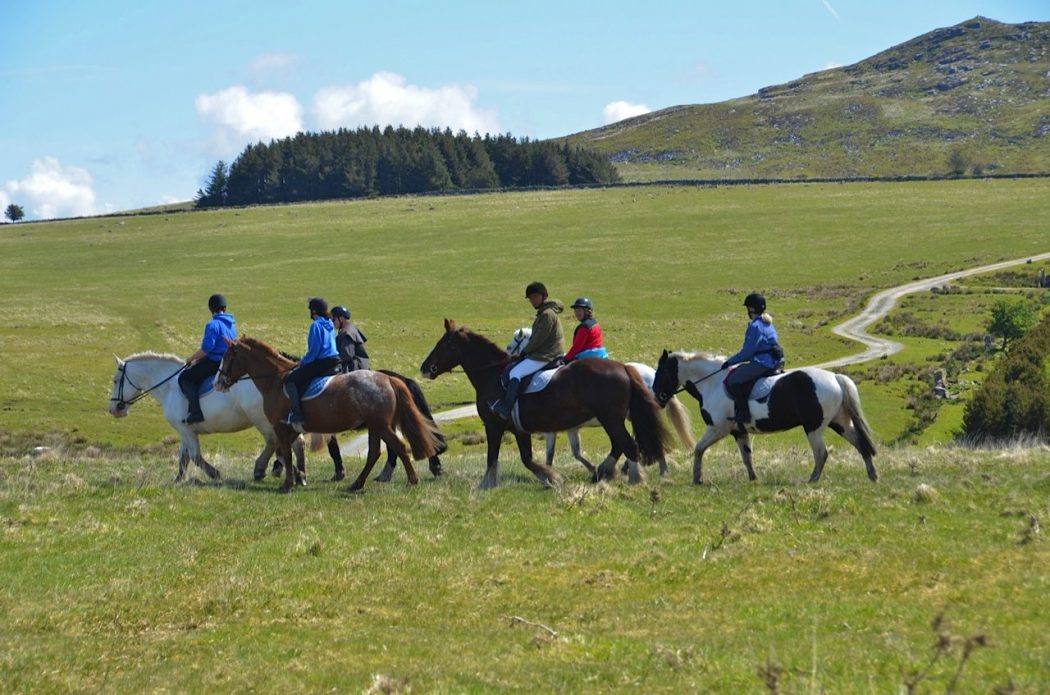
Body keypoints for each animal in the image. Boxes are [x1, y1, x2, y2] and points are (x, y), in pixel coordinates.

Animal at [108, 354, 306, 485]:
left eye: (115, 380)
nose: (113, 410)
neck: (169, 386)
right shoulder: (185, 431)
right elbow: (184, 457)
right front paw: (178, 479)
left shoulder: (186, 430)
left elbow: (195, 456)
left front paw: (214, 473)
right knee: (294, 443)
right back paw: (299, 473)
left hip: (263, 420)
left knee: (275, 442)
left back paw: (266, 469)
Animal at [213, 338, 443, 495]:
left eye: (227, 357)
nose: (218, 383)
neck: (276, 381)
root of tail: (388, 378)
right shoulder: (290, 429)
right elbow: (292, 452)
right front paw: (298, 478)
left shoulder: (280, 427)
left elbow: (286, 452)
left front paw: (287, 483)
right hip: (374, 426)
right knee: (375, 453)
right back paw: (357, 484)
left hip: (381, 425)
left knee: (398, 447)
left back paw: (412, 479)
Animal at [419, 321, 672, 489]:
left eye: (444, 343)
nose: (424, 368)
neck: (492, 374)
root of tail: (623, 367)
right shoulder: (520, 430)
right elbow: (529, 458)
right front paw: (550, 476)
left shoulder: (494, 426)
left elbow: (496, 458)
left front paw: (487, 486)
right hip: (612, 420)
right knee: (620, 446)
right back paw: (603, 472)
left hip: (610, 419)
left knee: (628, 445)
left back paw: (633, 479)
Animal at [508, 329, 697, 476]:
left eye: (514, 343)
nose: (509, 353)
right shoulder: (569, 428)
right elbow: (570, 452)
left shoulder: (554, 429)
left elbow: (555, 453)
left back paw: (655, 469)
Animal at [646, 350, 877, 487]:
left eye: (661, 372)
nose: (656, 398)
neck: (712, 383)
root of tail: (836, 378)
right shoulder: (739, 432)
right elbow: (747, 457)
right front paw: (753, 479)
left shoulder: (717, 428)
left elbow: (699, 449)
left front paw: (697, 478)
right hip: (839, 423)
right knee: (861, 445)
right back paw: (873, 476)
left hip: (814, 428)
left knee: (821, 453)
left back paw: (812, 480)